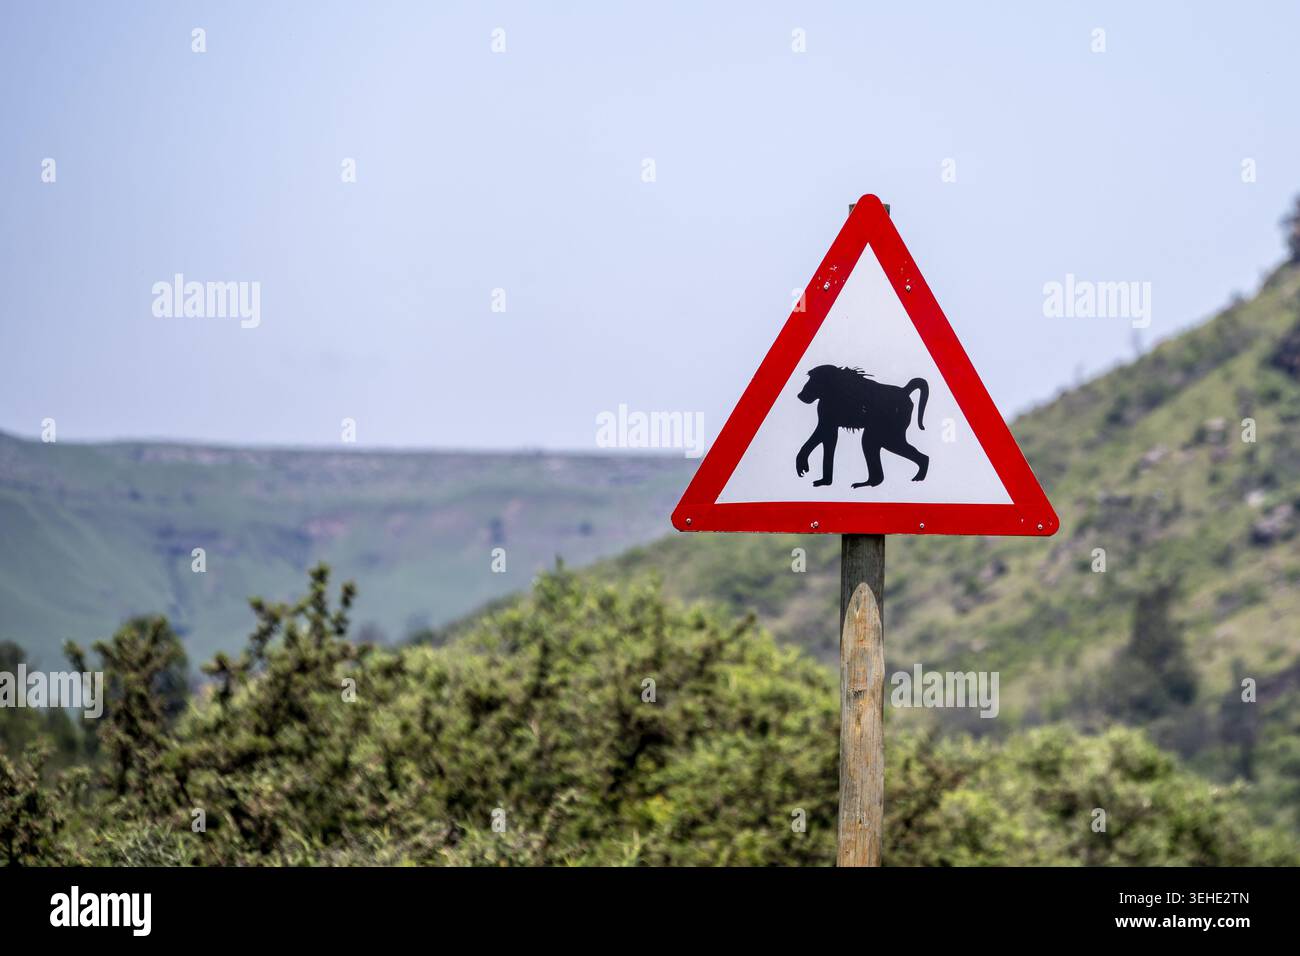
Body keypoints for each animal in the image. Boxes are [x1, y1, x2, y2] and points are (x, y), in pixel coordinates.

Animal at [794, 365, 929, 488]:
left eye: (814, 380)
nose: (800, 395)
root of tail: (903, 391)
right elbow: (826, 435)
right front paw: (825, 481)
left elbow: (823, 433)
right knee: (871, 443)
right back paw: (872, 482)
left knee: (879, 442)